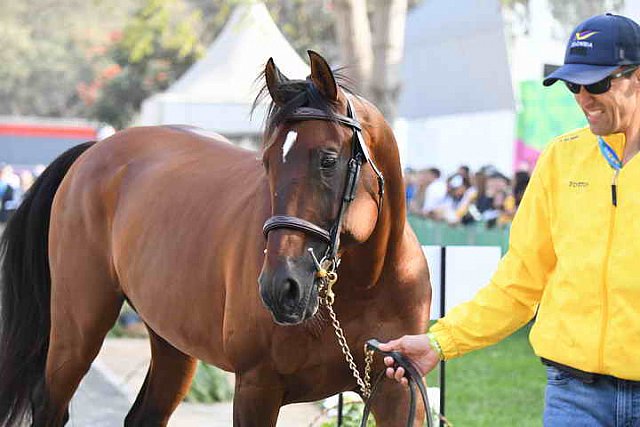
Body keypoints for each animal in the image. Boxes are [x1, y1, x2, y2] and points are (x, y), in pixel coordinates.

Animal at [0, 51, 432, 427]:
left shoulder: (396, 391)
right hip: (77, 331)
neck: (365, 285)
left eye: (328, 159)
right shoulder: (257, 387)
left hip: (172, 342)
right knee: (51, 403)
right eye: (267, 161)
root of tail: (96, 150)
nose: (281, 288)